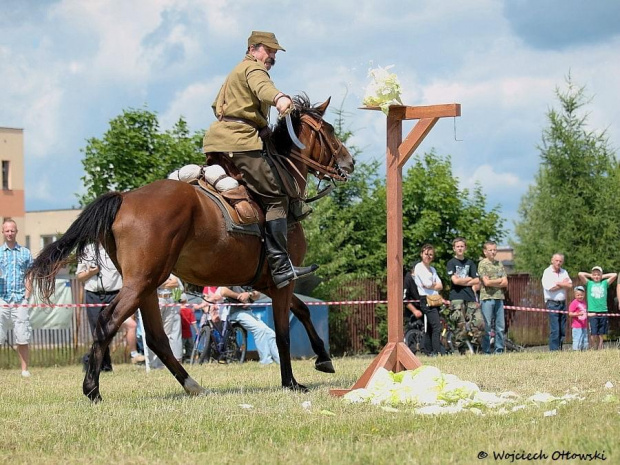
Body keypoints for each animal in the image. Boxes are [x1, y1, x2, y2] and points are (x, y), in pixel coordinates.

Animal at [27, 93, 354, 398]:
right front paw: (291, 382)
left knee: (156, 338)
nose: (348, 163)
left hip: (147, 285)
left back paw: (192, 385)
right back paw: (92, 388)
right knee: (109, 322)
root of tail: (125, 197)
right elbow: (284, 332)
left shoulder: (268, 282)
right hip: (142, 281)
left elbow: (303, 311)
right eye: (328, 130)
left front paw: (323, 358)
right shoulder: (282, 280)